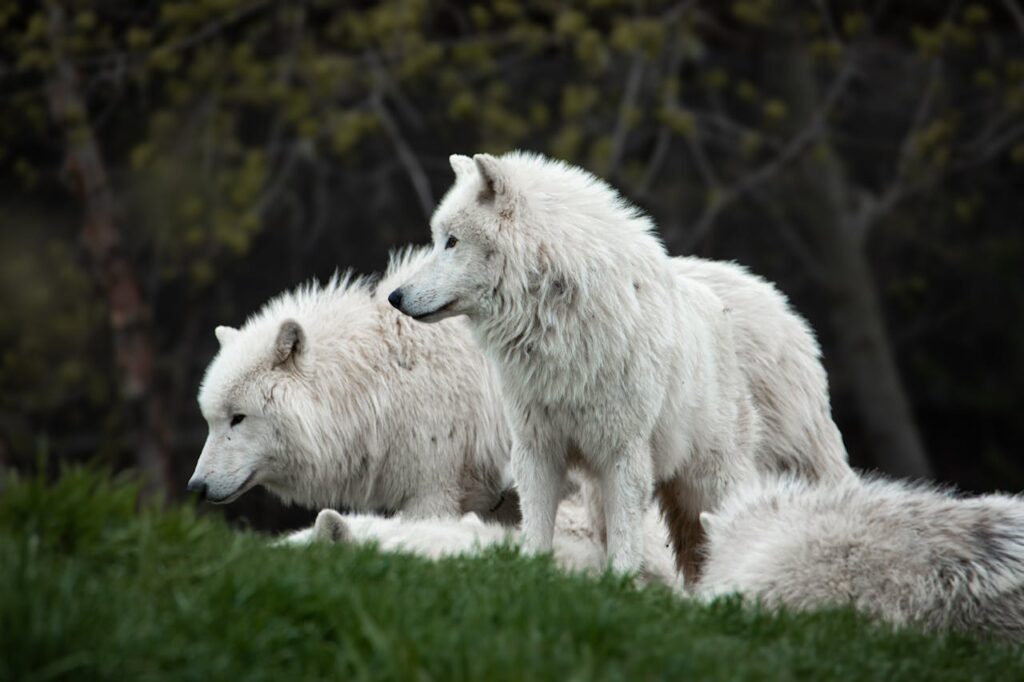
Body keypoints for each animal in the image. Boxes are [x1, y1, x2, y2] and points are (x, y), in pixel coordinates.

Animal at [387, 150, 851, 577]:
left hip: (712, 477)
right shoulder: (537, 450)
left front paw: (622, 586)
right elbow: (536, 530)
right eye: (437, 238)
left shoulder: (623, 454)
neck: (559, 326)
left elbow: (626, 542)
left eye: (452, 241)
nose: (395, 296)